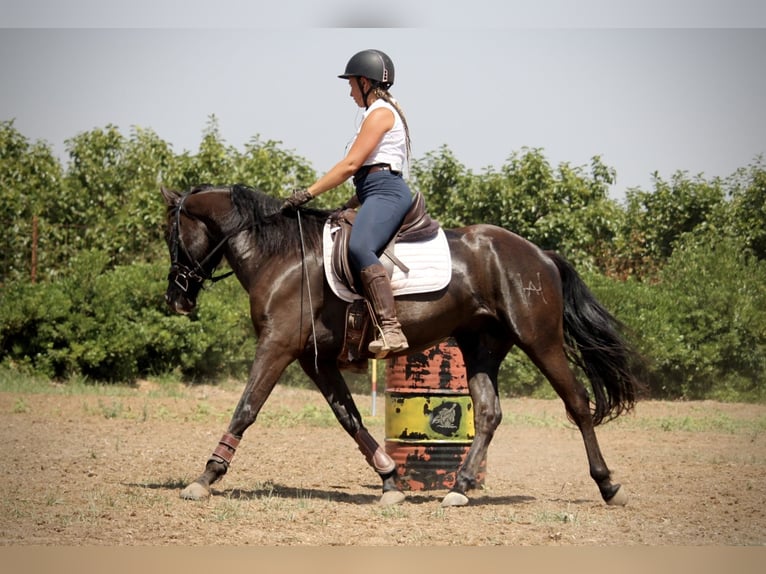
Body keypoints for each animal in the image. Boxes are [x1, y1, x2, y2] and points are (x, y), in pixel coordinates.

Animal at [161, 183, 645, 507]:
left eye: (170, 234)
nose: (175, 299)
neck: (283, 257)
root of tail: (542, 255)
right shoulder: (315, 359)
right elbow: (350, 418)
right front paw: (390, 480)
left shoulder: (278, 345)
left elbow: (246, 408)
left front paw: (206, 477)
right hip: (481, 347)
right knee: (489, 413)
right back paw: (459, 488)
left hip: (540, 340)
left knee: (578, 403)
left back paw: (608, 485)